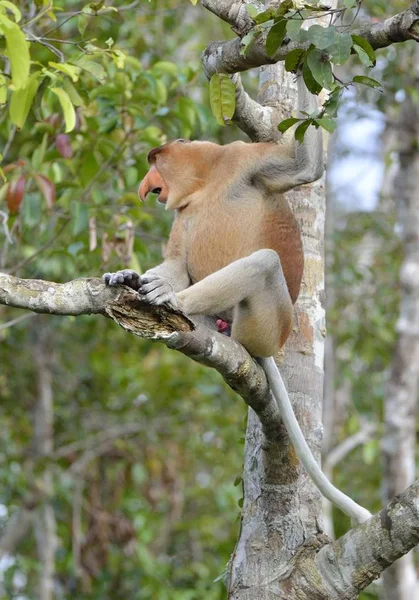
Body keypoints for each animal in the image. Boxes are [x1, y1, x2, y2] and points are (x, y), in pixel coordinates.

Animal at [103, 76, 372, 524]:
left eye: (155, 160)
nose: (145, 184)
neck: (207, 181)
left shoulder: (244, 160)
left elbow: (303, 167)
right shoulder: (184, 213)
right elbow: (176, 261)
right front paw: (127, 275)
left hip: (265, 324)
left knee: (264, 262)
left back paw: (172, 301)